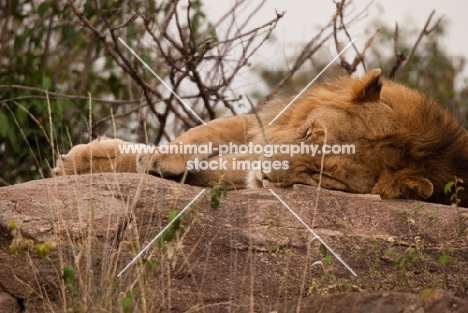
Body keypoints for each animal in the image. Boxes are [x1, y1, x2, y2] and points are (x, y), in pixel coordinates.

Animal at [51, 68, 468, 205]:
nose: (266, 171)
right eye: (309, 133)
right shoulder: (262, 128)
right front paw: (77, 162)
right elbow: (204, 131)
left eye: (321, 176)